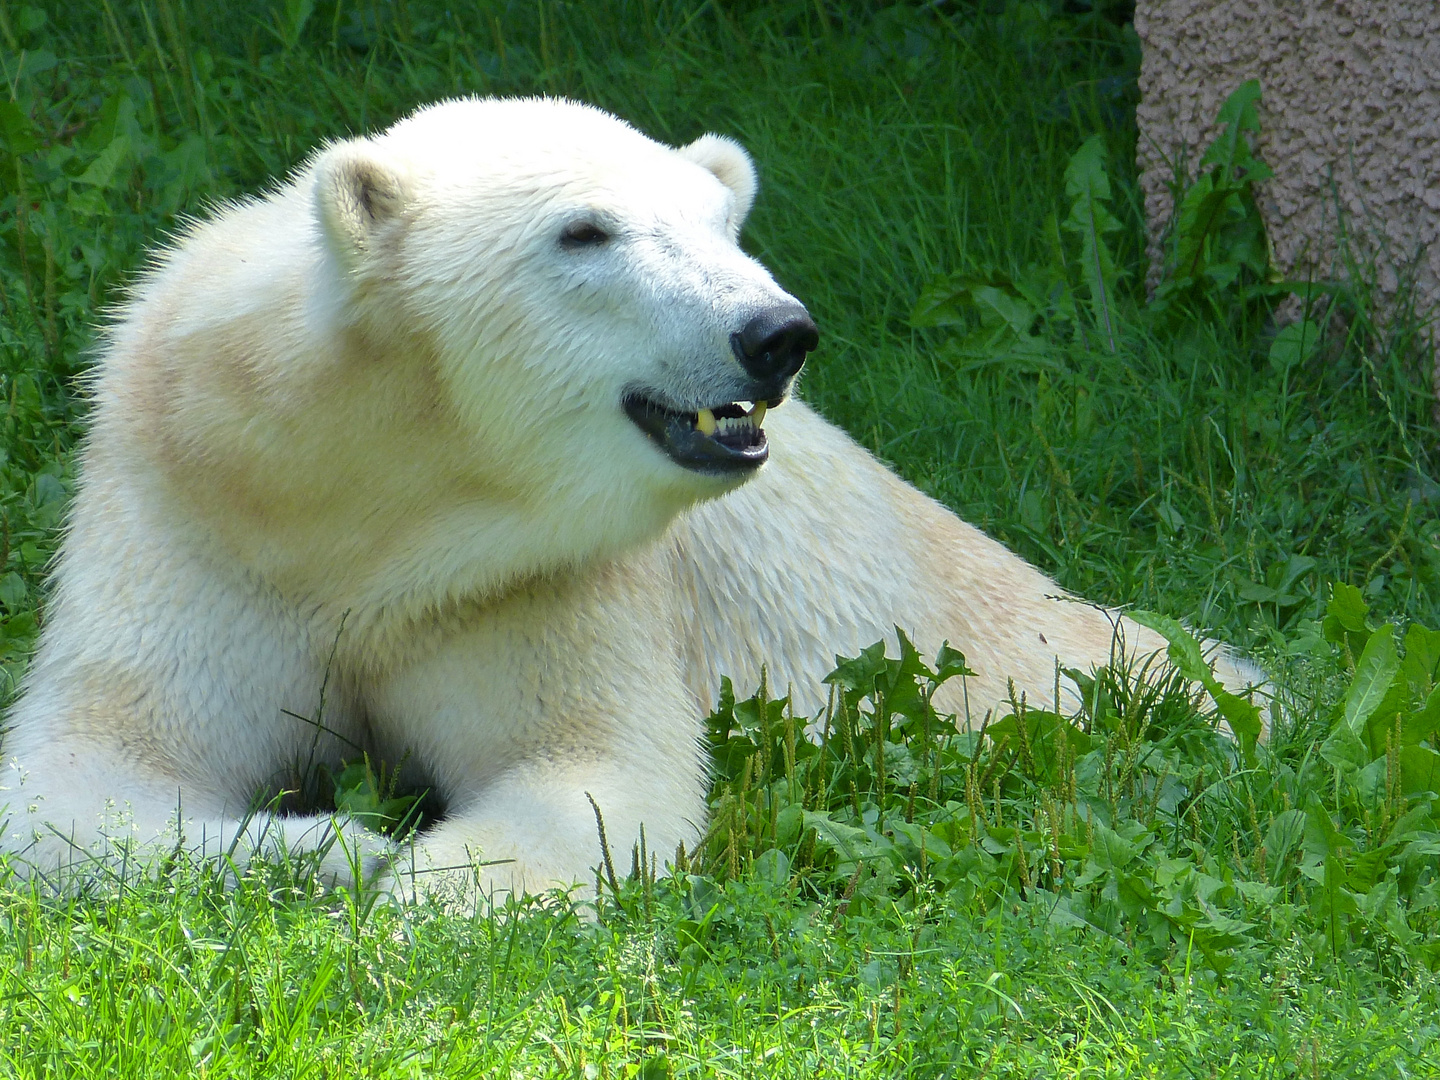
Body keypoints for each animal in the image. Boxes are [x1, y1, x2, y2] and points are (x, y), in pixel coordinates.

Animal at [0, 97, 1249, 904]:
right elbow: (79, 773)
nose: (775, 334)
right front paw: (335, 848)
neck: (381, 503)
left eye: (716, 223)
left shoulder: (529, 579)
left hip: (1026, 651)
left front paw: (412, 895)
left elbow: (589, 769)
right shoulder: (197, 508)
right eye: (585, 230)